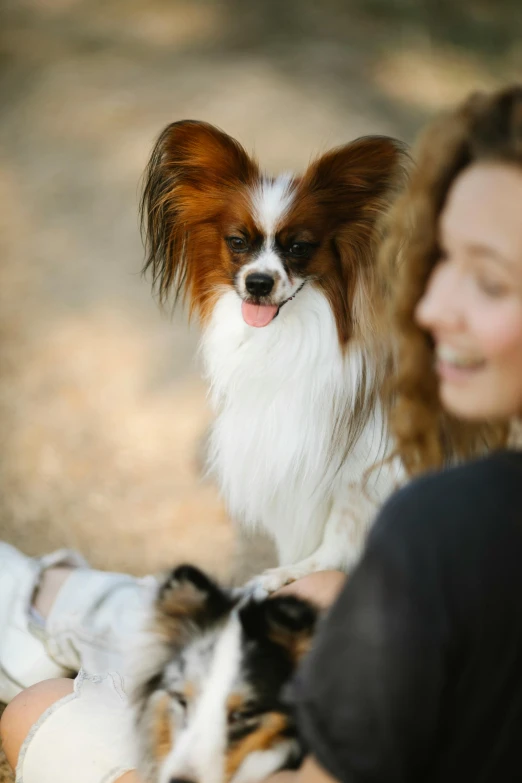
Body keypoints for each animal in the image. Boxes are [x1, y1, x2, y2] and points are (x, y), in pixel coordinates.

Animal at [140, 119, 404, 592]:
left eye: (299, 248)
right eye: (237, 242)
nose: (259, 283)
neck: (286, 336)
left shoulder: (366, 462)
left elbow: (341, 531)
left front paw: (294, 575)